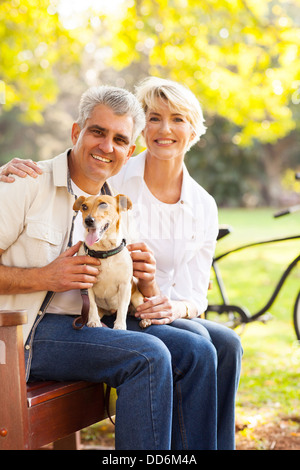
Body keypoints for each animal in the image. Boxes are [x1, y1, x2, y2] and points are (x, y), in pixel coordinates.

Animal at [72, 193, 151, 328]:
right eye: (84, 206)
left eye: (103, 204)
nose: (88, 220)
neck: (105, 252)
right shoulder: (87, 284)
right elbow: (92, 306)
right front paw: (94, 321)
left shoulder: (125, 286)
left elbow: (122, 308)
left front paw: (119, 326)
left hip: (137, 298)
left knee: (140, 308)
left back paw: (145, 320)